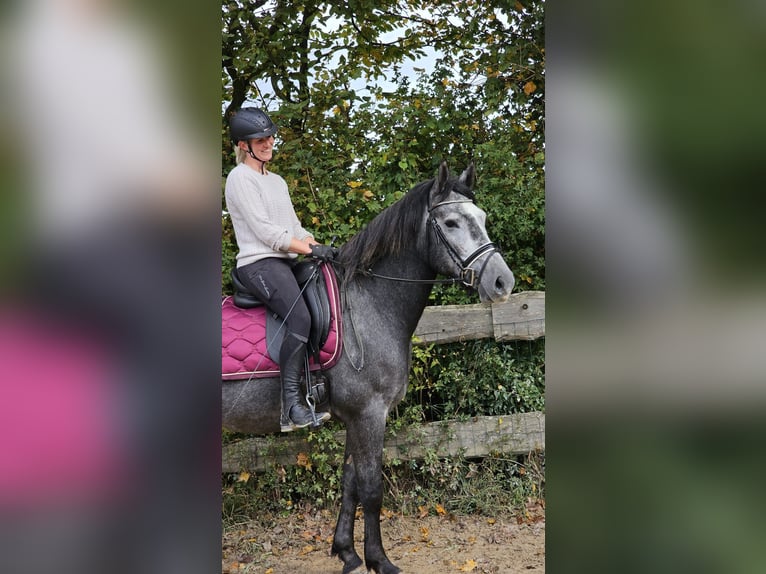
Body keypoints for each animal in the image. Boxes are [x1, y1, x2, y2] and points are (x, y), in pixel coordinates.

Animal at [225, 163, 520, 574]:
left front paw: (347, 553)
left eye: (483, 218)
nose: (502, 281)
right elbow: (371, 488)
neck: (368, 306)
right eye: (450, 222)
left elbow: (349, 481)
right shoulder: (369, 413)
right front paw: (379, 560)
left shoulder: (353, 417)